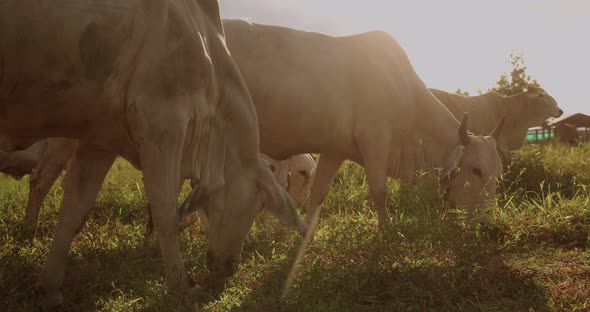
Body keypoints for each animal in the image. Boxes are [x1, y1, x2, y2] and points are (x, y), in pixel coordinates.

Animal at [0, 2, 308, 308]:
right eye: (257, 206)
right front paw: (182, 286)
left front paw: (50, 288)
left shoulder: (99, 140)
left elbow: (75, 209)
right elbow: (165, 212)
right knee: (41, 180)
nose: (230, 267)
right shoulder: (162, 125)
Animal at [223, 20, 508, 227]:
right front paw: (387, 231)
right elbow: (380, 192)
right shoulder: (375, 139)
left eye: (498, 173)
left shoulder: (335, 150)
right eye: (476, 170)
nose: (487, 224)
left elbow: (317, 195)